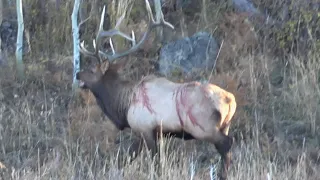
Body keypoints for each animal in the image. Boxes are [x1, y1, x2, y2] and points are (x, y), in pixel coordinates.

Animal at [76, 0, 236, 179]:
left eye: (91, 70)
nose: (77, 74)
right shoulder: (152, 133)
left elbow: (153, 160)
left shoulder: (145, 128)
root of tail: (230, 100)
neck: (123, 105)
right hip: (225, 125)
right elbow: (129, 157)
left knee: (226, 144)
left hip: (203, 127)